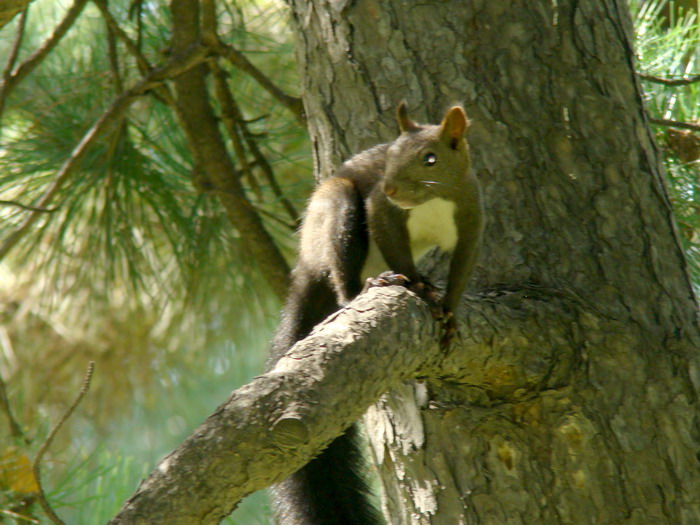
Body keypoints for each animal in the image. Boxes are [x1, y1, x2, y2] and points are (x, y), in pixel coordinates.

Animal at [266, 102, 484, 524]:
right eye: (391, 154)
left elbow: (462, 269)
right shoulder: (382, 211)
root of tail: (306, 259)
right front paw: (418, 289)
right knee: (342, 277)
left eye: (430, 158)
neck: (432, 202)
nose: (391, 187)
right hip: (339, 211)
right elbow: (392, 241)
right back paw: (369, 286)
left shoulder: (470, 220)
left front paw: (447, 309)